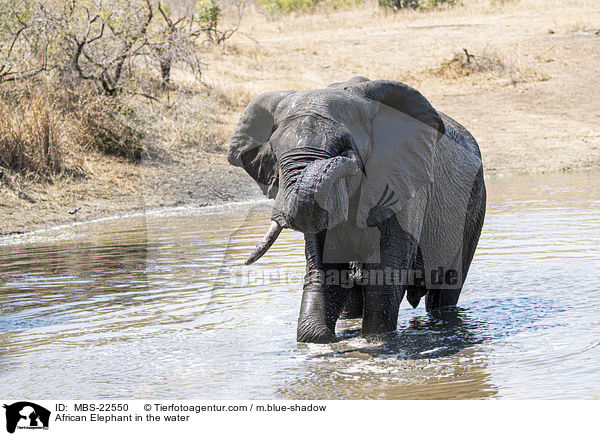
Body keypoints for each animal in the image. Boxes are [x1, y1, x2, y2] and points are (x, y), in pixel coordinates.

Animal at [227, 77, 486, 344]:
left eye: (345, 144)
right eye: (275, 152)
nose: (350, 159)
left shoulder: (402, 179)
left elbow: (385, 272)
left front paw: (376, 341)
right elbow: (324, 269)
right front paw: (317, 339)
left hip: (473, 202)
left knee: (446, 289)